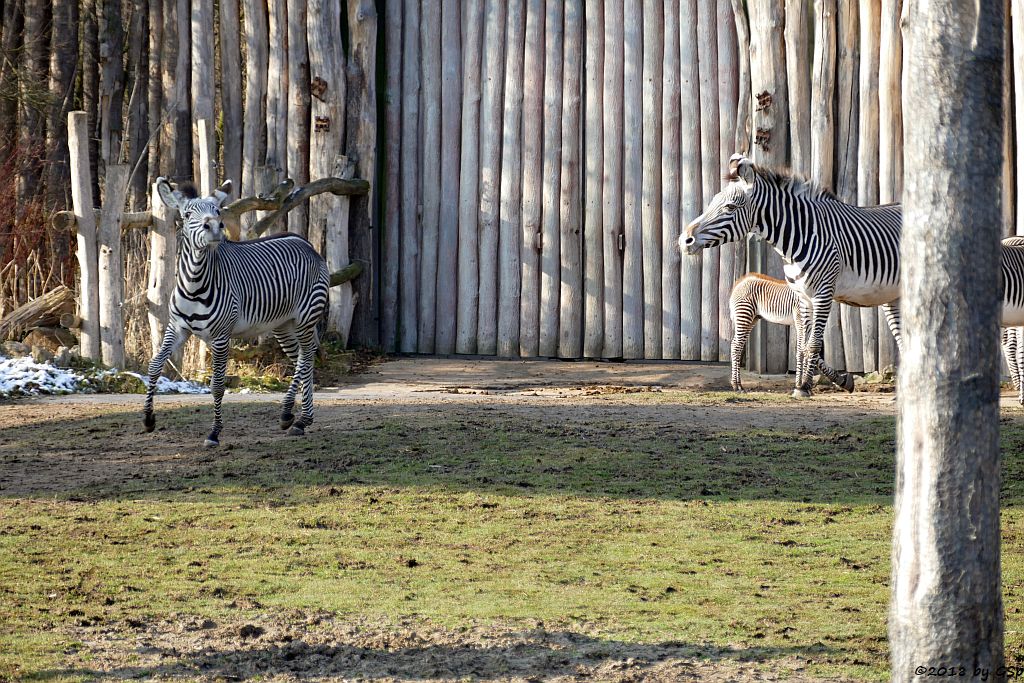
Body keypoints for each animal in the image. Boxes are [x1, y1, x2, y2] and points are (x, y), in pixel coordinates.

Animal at [142, 179, 327, 448]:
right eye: (187, 215)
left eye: (218, 211)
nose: (214, 227)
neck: (195, 284)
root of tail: (305, 242)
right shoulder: (177, 328)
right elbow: (155, 366)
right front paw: (148, 419)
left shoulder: (220, 337)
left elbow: (218, 385)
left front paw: (214, 433)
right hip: (284, 324)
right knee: (303, 358)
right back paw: (297, 418)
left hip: (305, 317)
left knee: (306, 358)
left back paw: (295, 416)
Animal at [679, 153, 905, 401]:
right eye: (712, 202)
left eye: (729, 207)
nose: (684, 240)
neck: (801, 235)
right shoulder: (803, 298)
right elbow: (803, 346)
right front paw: (806, 385)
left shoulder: (823, 293)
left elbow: (813, 344)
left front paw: (805, 386)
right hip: (892, 296)